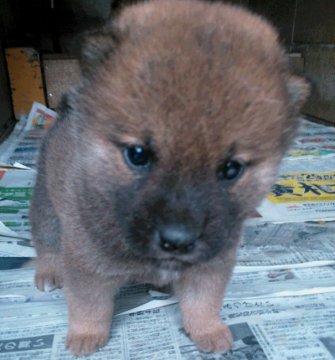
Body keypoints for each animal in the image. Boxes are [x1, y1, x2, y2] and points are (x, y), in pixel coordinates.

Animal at [29, 0, 310, 354]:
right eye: (137, 154)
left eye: (231, 169)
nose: (177, 240)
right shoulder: (87, 263)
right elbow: (89, 306)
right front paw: (85, 336)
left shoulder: (211, 263)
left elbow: (203, 303)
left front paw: (208, 331)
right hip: (47, 208)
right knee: (46, 243)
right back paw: (49, 273)